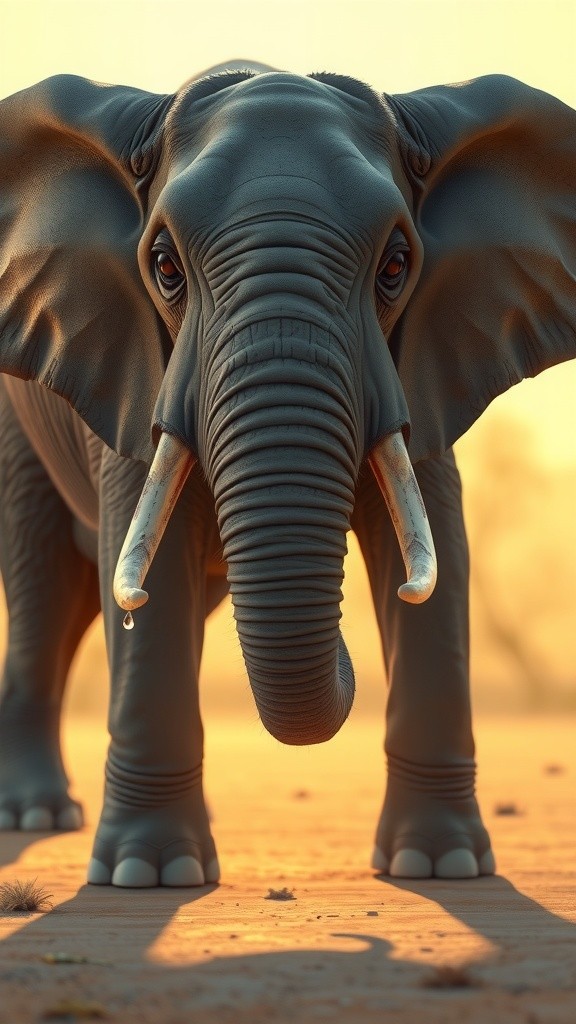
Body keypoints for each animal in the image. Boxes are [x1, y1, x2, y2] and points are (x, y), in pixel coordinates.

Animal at [0, 60, 575, 889]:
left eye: (396, 266)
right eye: (164, 267)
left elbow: (441, 553)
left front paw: (441, 866)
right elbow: (151, 571)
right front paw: (151, 876)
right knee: (45, 590)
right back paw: (36, 818)